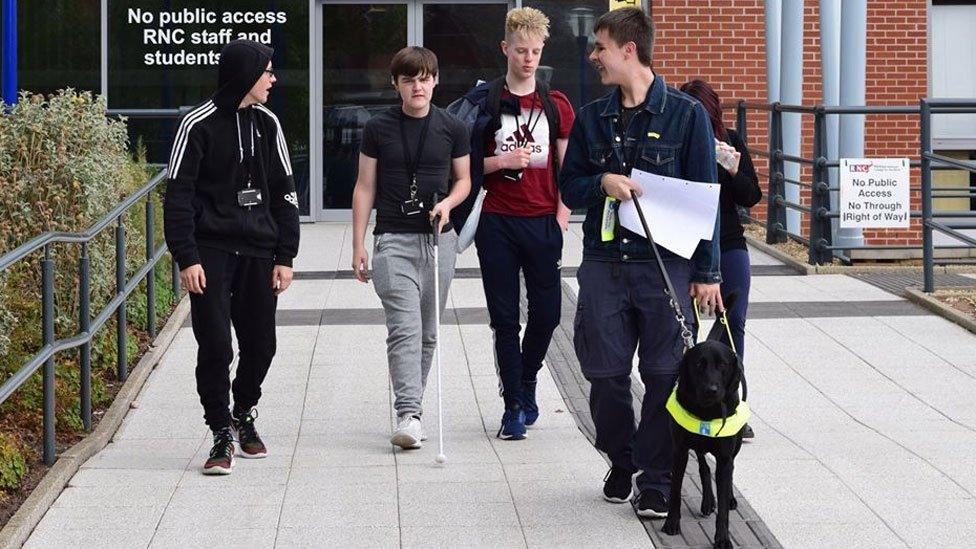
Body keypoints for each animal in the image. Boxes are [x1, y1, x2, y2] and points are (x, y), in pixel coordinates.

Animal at [628, 193, 752, 548]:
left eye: (723, 367)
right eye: (699, 365)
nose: (711, 390)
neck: (707, 412)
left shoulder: (725, 455)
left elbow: (725, 485)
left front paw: (722, 537)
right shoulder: (680, 449)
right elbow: (677, 485)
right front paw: (672, 523)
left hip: (731, 447)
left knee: (725, 476)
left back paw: (726, 500)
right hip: (695, 447)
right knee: (704, 471)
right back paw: (707, 501)